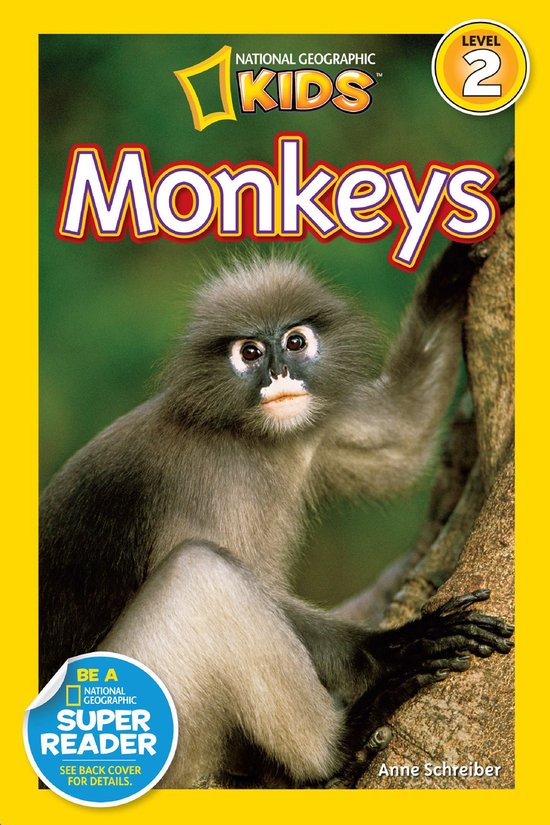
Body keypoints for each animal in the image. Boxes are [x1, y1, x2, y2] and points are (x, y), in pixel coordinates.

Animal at [39, 250, 514, 788]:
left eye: (295, 342)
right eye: (249, 352)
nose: (279, 373)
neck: (247, 437)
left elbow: (401, 436)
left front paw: (454, 269)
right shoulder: (206, 487)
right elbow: (258, 590)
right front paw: (394, 648)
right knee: (200, 574)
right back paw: (334, 750)